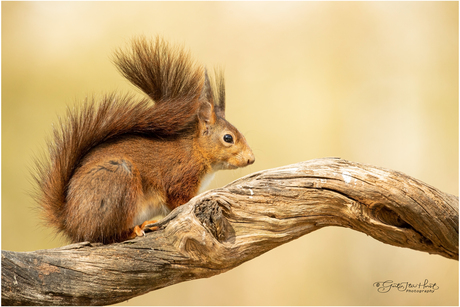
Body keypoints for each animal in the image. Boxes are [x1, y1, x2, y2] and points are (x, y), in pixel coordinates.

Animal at [33, 37, 255, 245]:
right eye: (228, 138)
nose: (251, 159)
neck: (195, 150)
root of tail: (70, 221)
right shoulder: (180, 178)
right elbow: (180, 201)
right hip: (118, 181)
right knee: (104, 236)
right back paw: (134, 230)